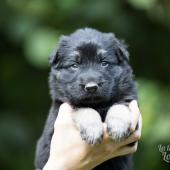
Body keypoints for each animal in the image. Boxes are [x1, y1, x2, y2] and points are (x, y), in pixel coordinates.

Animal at [34, 28, 137, 170]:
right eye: (74, 65)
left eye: (104, 63)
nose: (91, 87)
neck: (98, 105)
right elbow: (84, 109)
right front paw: (93, 130)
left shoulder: (129, 103)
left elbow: (119, 105)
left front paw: (118, 127)